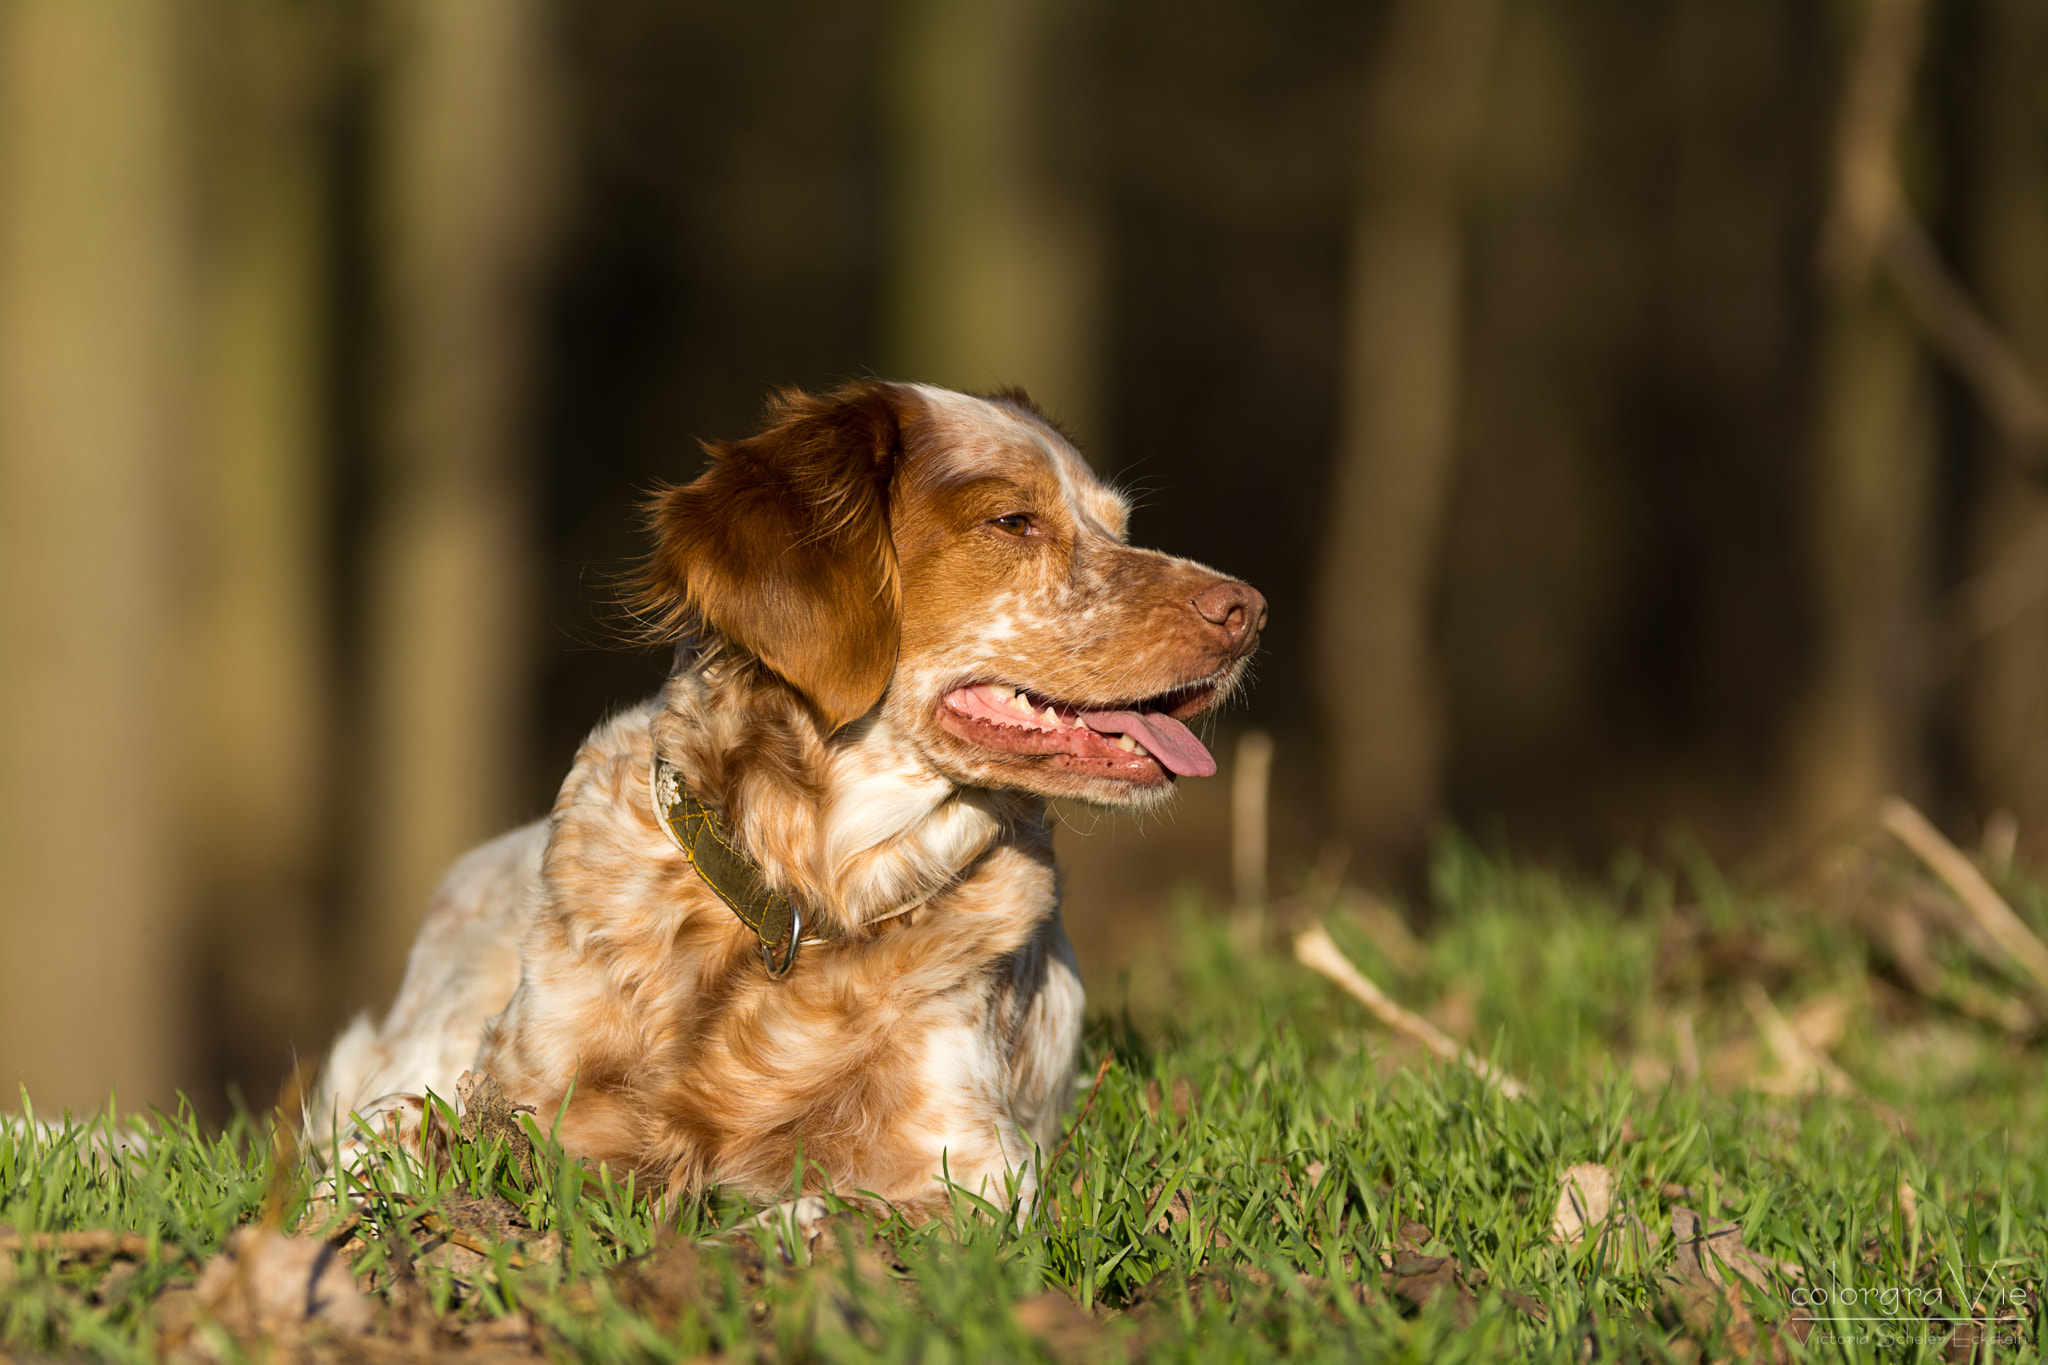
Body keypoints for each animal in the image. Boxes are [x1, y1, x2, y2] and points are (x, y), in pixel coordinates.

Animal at [313, 382, 1261, 1219]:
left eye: (1118, 527)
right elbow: (387, 1134)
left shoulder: (974, 1171)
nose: (1248, 609)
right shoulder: (511, 1093)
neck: (804, 890)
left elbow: (801, 1220)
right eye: (1013, 522)